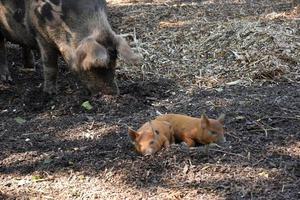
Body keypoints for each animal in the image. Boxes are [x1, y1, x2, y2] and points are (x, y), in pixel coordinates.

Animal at [0, 0, 140, 94]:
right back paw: (7, 80)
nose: (114, 94)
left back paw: (31, 67)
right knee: (2, 49)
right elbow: (50, 66)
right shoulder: (41, 36)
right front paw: (51, 93)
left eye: (114, 62)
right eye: (94, 66)